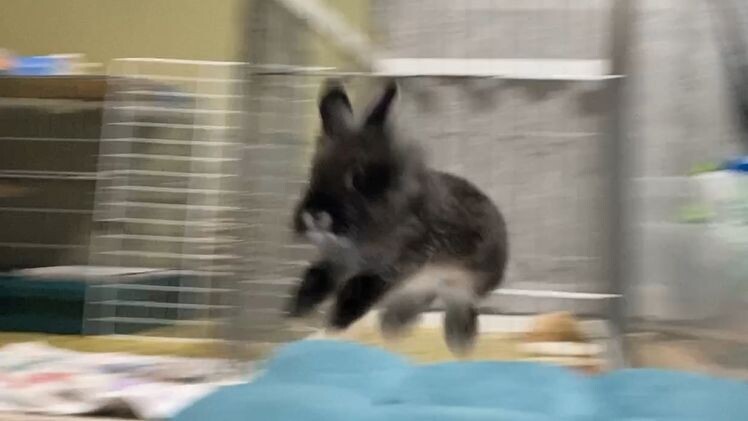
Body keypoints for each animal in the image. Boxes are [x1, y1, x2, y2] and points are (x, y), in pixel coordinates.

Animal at [287, 79, 508, 354]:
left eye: (357, 179)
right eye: (314, 172)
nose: (315, 213)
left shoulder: (399, 262)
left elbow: (359, 288)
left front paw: (336, 322)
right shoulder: (339, 261)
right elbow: (317, 275)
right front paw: (296, 309)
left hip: (461, 283)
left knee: (459, 304)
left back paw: (459, 342)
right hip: (422, 287)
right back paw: (393, 327)